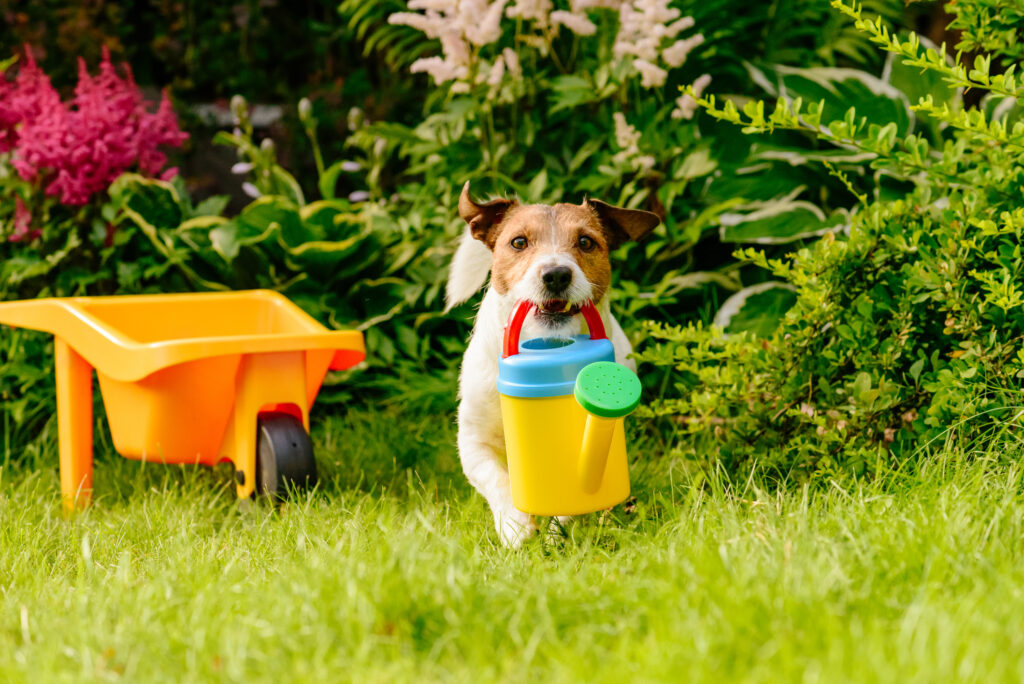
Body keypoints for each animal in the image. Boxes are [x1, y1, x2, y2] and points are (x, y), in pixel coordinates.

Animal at [446, 181, 655, 544]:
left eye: (586, 242)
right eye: (518, 242)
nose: (556, 274)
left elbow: (570, 500)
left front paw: (555, 533)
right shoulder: (473, 442)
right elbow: (497, 480)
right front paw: (515, 526)